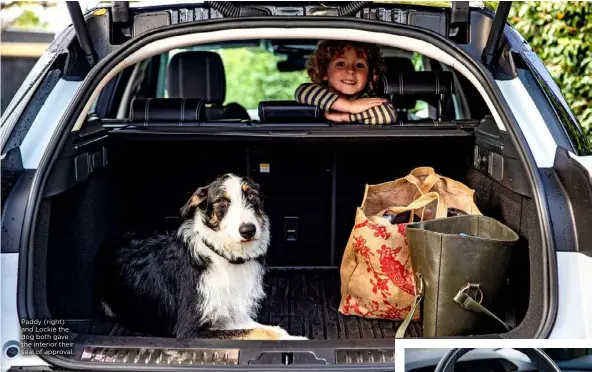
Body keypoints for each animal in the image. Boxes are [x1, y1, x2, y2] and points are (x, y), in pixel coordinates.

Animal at [97, 174, 306, 340]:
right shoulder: (190, 330)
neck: (223, 257)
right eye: (222, 202)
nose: (248, 230)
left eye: (252, 196)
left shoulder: (231, 313)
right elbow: (257, 332)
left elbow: (267, 329)